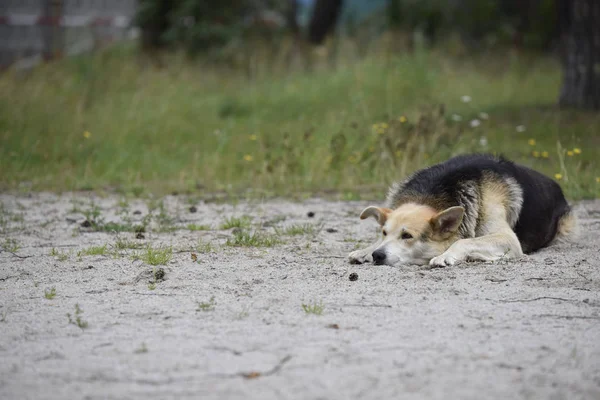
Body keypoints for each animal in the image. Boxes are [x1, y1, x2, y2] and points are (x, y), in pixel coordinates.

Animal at [350, 155, 580, 268]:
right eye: (384, 233)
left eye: (407, 236)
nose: (377, 256)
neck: (431, 195)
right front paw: (365, 250)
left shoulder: (508, 239)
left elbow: (463, 241)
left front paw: (446, 256)